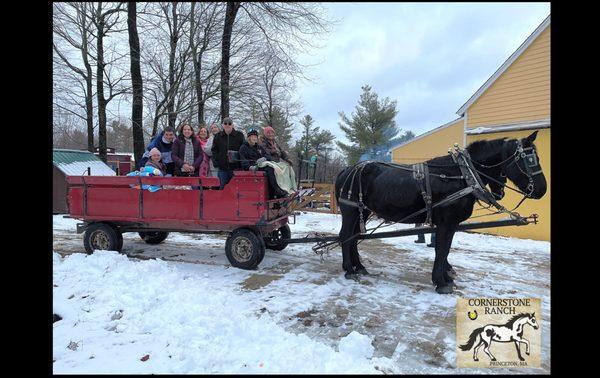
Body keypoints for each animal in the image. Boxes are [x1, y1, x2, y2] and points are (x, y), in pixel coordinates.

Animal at [336, 131, 548, 294]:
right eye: (530, 160)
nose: (542, 189)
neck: (462, 174)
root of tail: (345, 170)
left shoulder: (451, 224)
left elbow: (445, 249)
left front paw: (446, 277)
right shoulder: (446, 222)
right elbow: (441, 249)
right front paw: (441, 281)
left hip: (362, 212)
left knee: (354, 237)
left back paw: (359, 267)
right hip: (350, 210)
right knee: (346, 236)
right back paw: (350, 269)